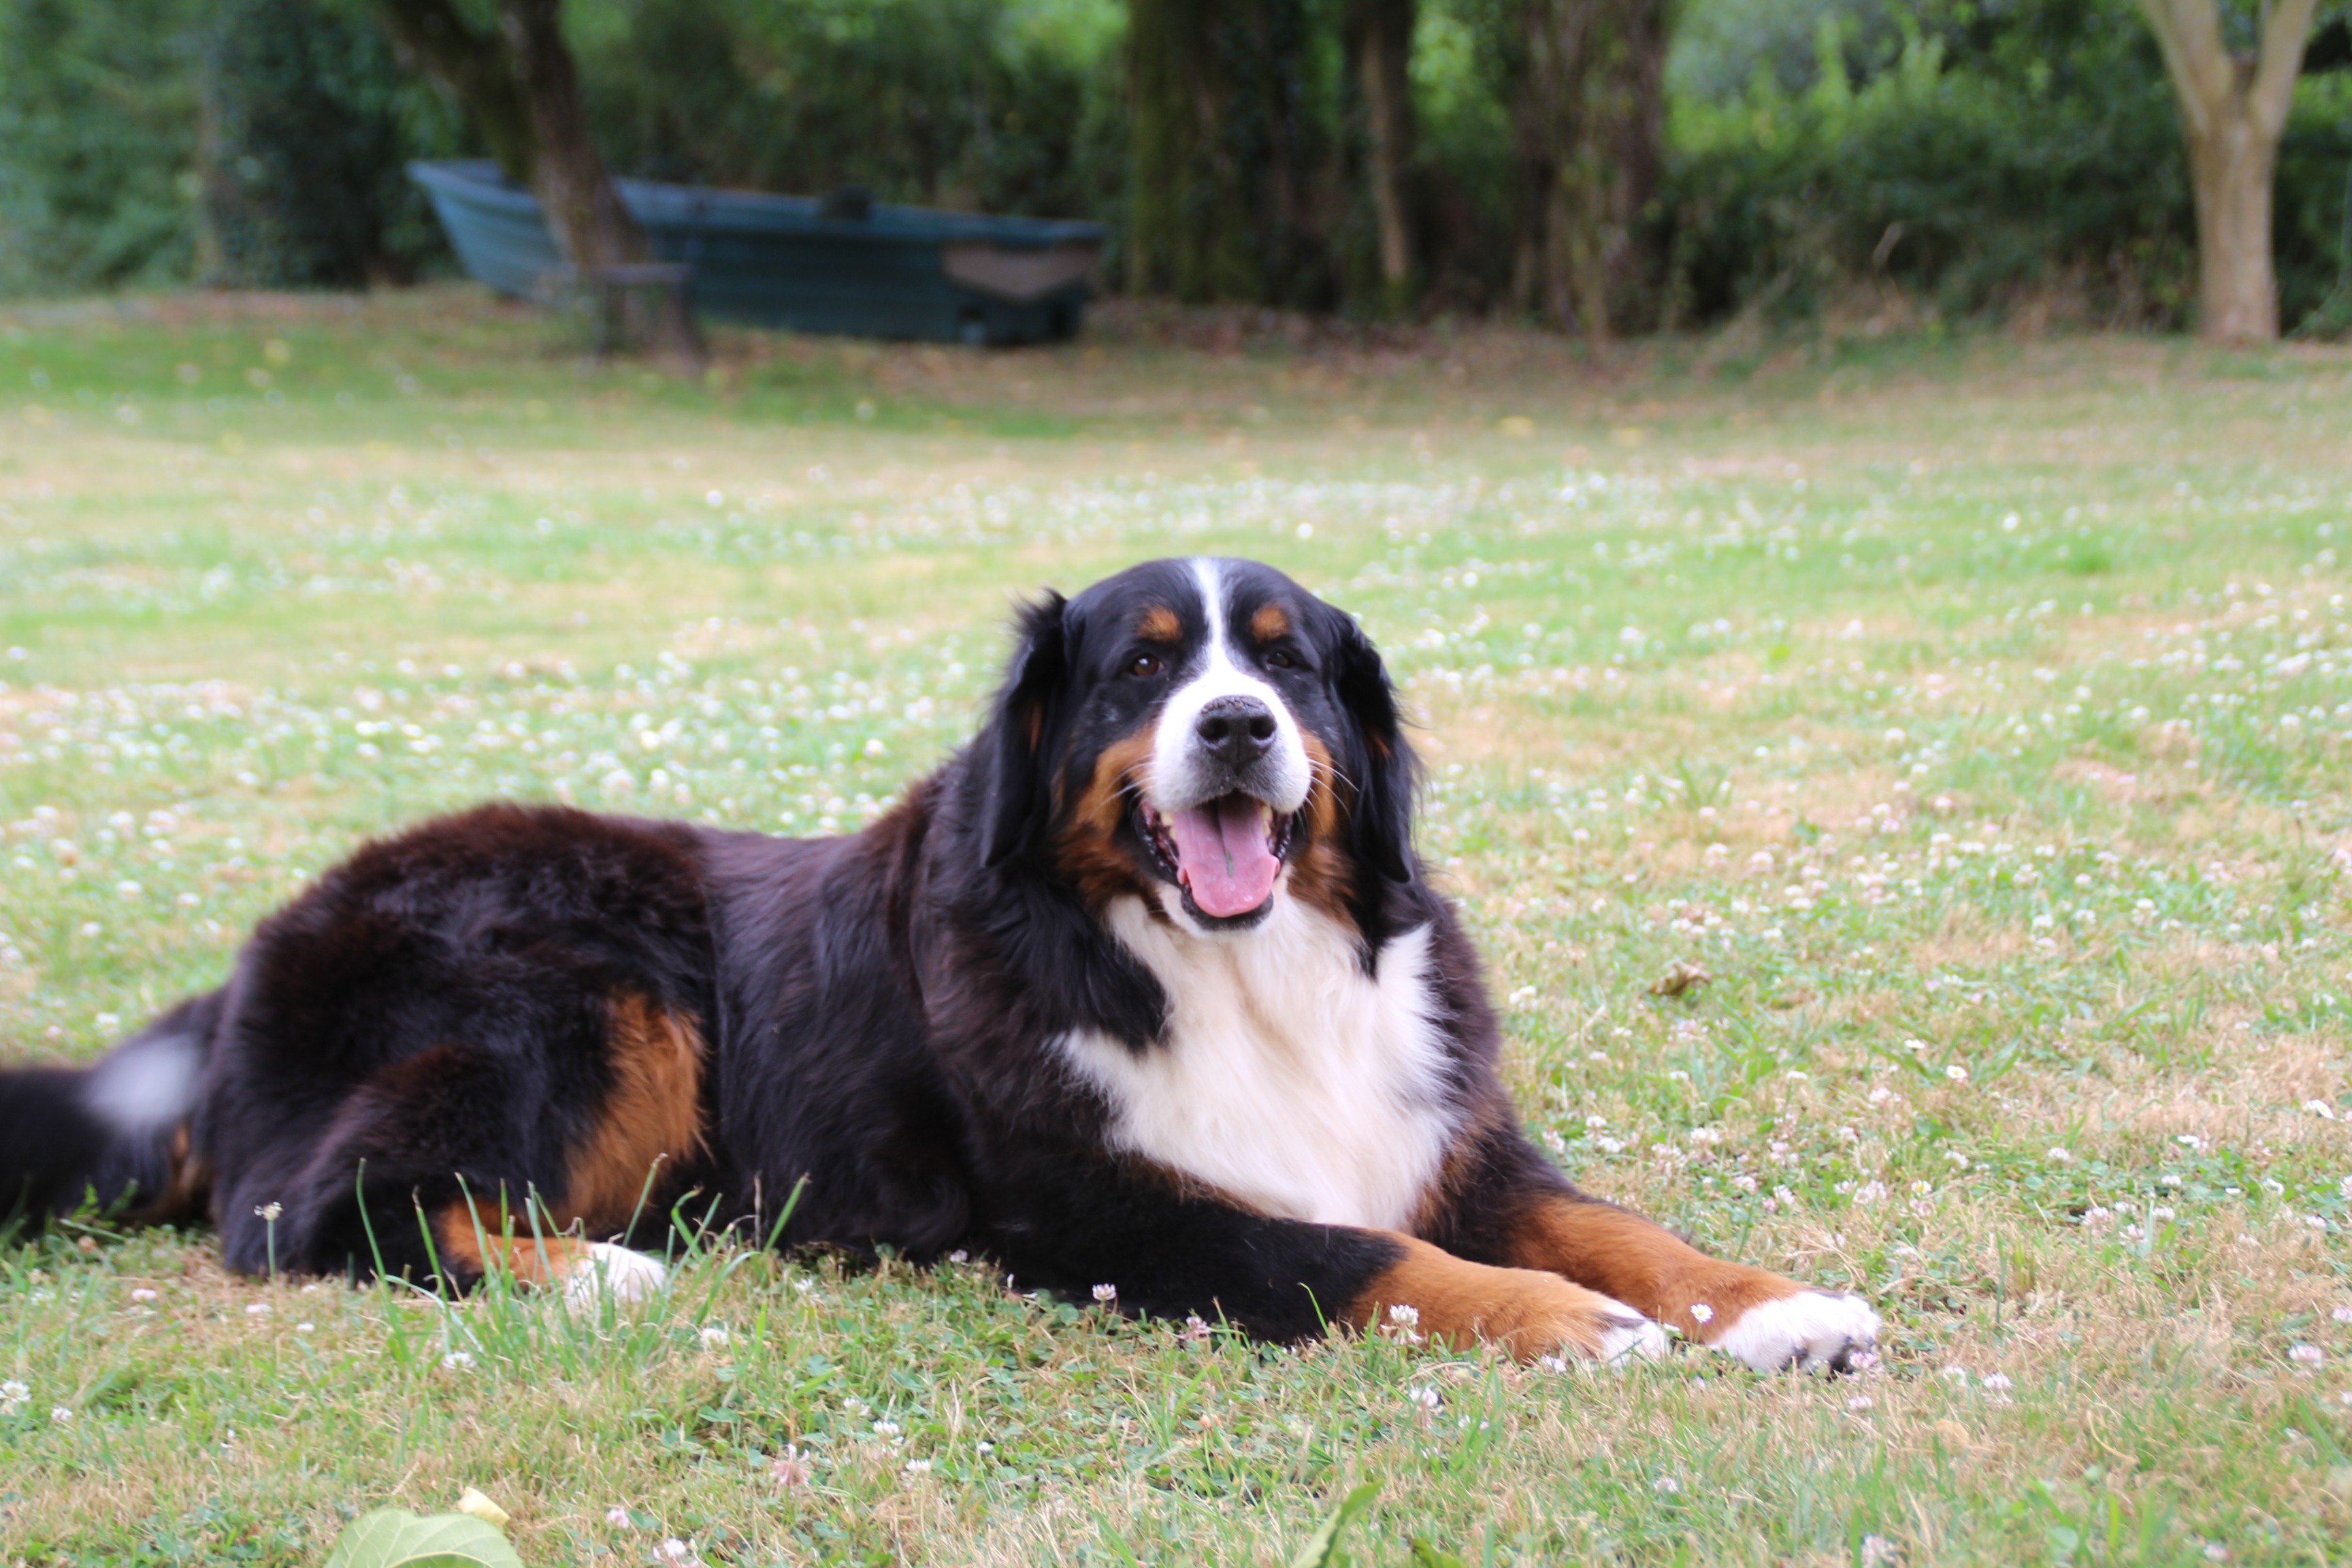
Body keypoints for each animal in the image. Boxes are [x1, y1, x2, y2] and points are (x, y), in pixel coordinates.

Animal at [0, 561, 1872, 1373]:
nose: (1237, 728)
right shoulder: (1113, 1215)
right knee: (320, 1214)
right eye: (1140, 668)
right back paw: (592, 1273)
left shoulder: (1440, 1130)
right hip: (584, 980)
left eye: (1287, 667)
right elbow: (1379, 1262)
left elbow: (1619, 1228)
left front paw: (1778, 1309)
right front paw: (1578, 1330)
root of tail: (252, 952)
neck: (1233, 972)